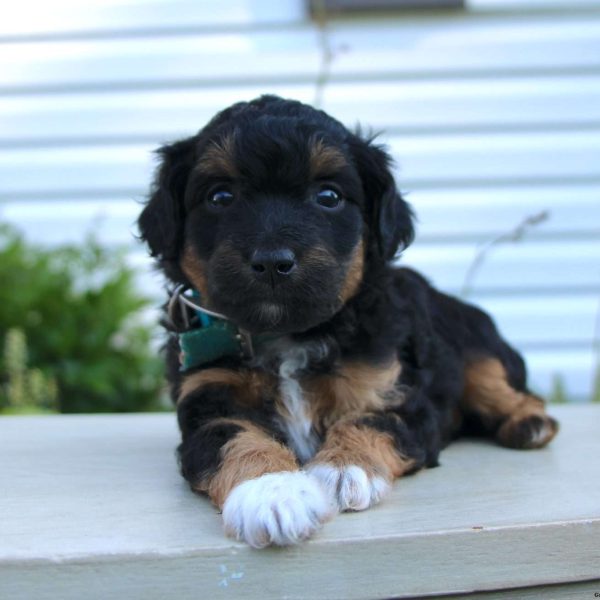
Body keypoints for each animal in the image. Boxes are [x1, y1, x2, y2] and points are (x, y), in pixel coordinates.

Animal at [138, 95, 560, 548]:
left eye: (328, 196)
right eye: (220, 197)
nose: (272, 262)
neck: (288, 335)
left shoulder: (396, 390)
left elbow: (371, 419)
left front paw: (343, 469)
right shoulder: (208, 399)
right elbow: (232, 435)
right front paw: (272, 494)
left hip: (478, 352)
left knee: (504, 388)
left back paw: (530, 424)